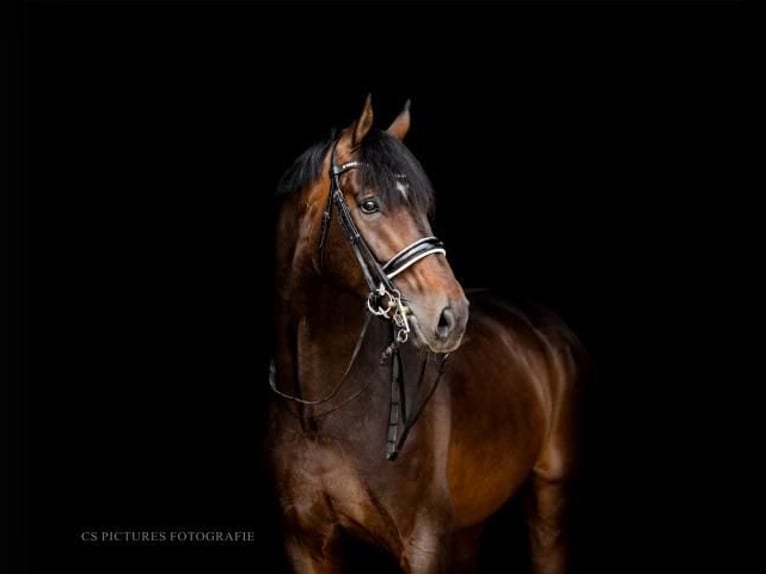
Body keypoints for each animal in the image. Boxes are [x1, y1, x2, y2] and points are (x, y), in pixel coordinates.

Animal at [268, 97, 584, 572]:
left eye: (423, 205)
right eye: (369, 205)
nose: (451, 316)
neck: (320, 411)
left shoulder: (423, 542)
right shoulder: (306, 543)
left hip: (551, 491)